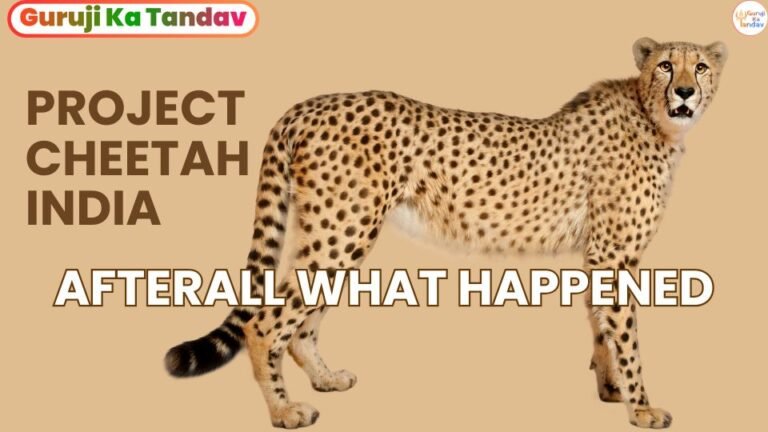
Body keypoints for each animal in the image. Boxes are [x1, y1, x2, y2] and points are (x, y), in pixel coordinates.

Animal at [164, 38, 727, 429]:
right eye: (665, 65)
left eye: (699, 66)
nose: (684, 91)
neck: (653, 118)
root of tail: (308, 104)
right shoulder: (614, 254)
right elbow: (625, 334)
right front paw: (642, 407)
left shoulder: (596, 254)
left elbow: (601, 326)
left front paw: (611, 392)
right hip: (344, 229)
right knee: (264, 324)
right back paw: (284, 413)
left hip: (332, 229)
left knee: (299, 321)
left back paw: (324, 379)